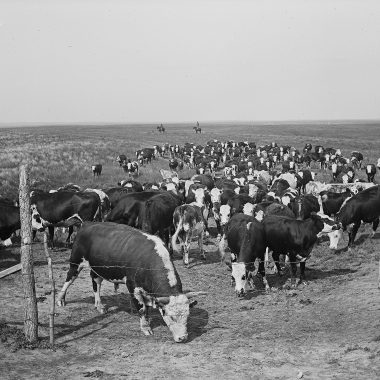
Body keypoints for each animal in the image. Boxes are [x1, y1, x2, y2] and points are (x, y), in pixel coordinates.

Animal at [56, 221, 203, 342]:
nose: (183, 338)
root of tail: (86, 224)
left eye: (187, 315)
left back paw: (99, 305)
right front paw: (146, 328)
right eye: (171, 317)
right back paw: (60, 299)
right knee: (69, 278)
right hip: (76, 262)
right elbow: (142, 309)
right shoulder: (133, 287)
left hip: (97, 268)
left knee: (96, 282)